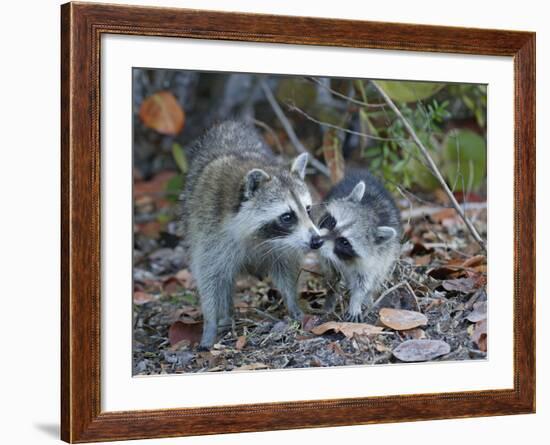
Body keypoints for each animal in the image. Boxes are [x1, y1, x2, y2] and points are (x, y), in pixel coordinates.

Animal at [183, 120, 326, 346]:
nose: (317, 241)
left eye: (308, 209)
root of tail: (229, 124)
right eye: (287, 216)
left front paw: (293, 304)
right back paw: (226, 316)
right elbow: (209, 277)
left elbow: (285, 269)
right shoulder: (209, 231)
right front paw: (210, 323)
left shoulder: (283, 244)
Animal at [316, 169, 404, 320]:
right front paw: (331, 294)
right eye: (332, 222)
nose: (316, 241)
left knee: (379, 275)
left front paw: (357, 300)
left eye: (344, 242)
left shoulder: (376, 257)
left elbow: (364, 282)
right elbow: (331, 273)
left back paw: (368, 299)